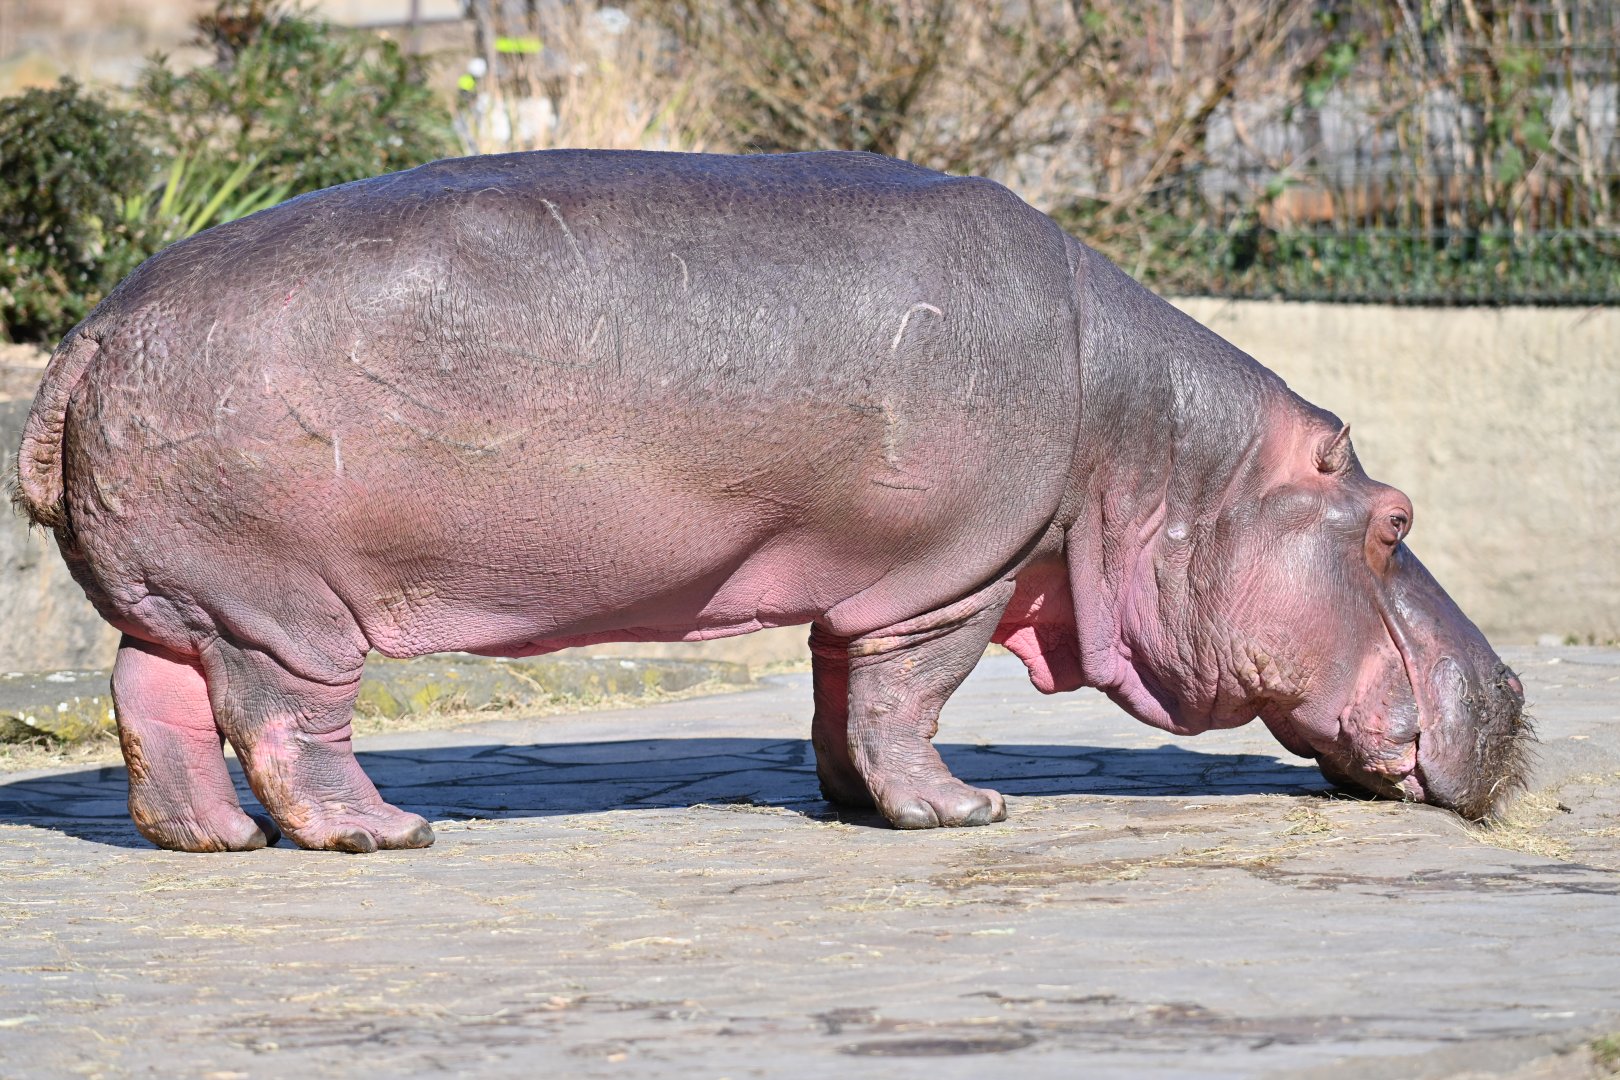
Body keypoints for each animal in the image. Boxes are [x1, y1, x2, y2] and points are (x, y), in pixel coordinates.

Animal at [14, 150, 1530, 853]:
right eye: (1395, 520)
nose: (1518, 690)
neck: (1157, 458)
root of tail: (96, 327)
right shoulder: (953, 576)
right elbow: (909, 699)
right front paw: (965, 814)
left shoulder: (862, 578)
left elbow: (838, 695)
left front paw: (859, 807)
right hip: (285, 611)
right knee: (285, 726)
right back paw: (383, 833)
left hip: (191, 601)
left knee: (151, 703)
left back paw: (205, 842)